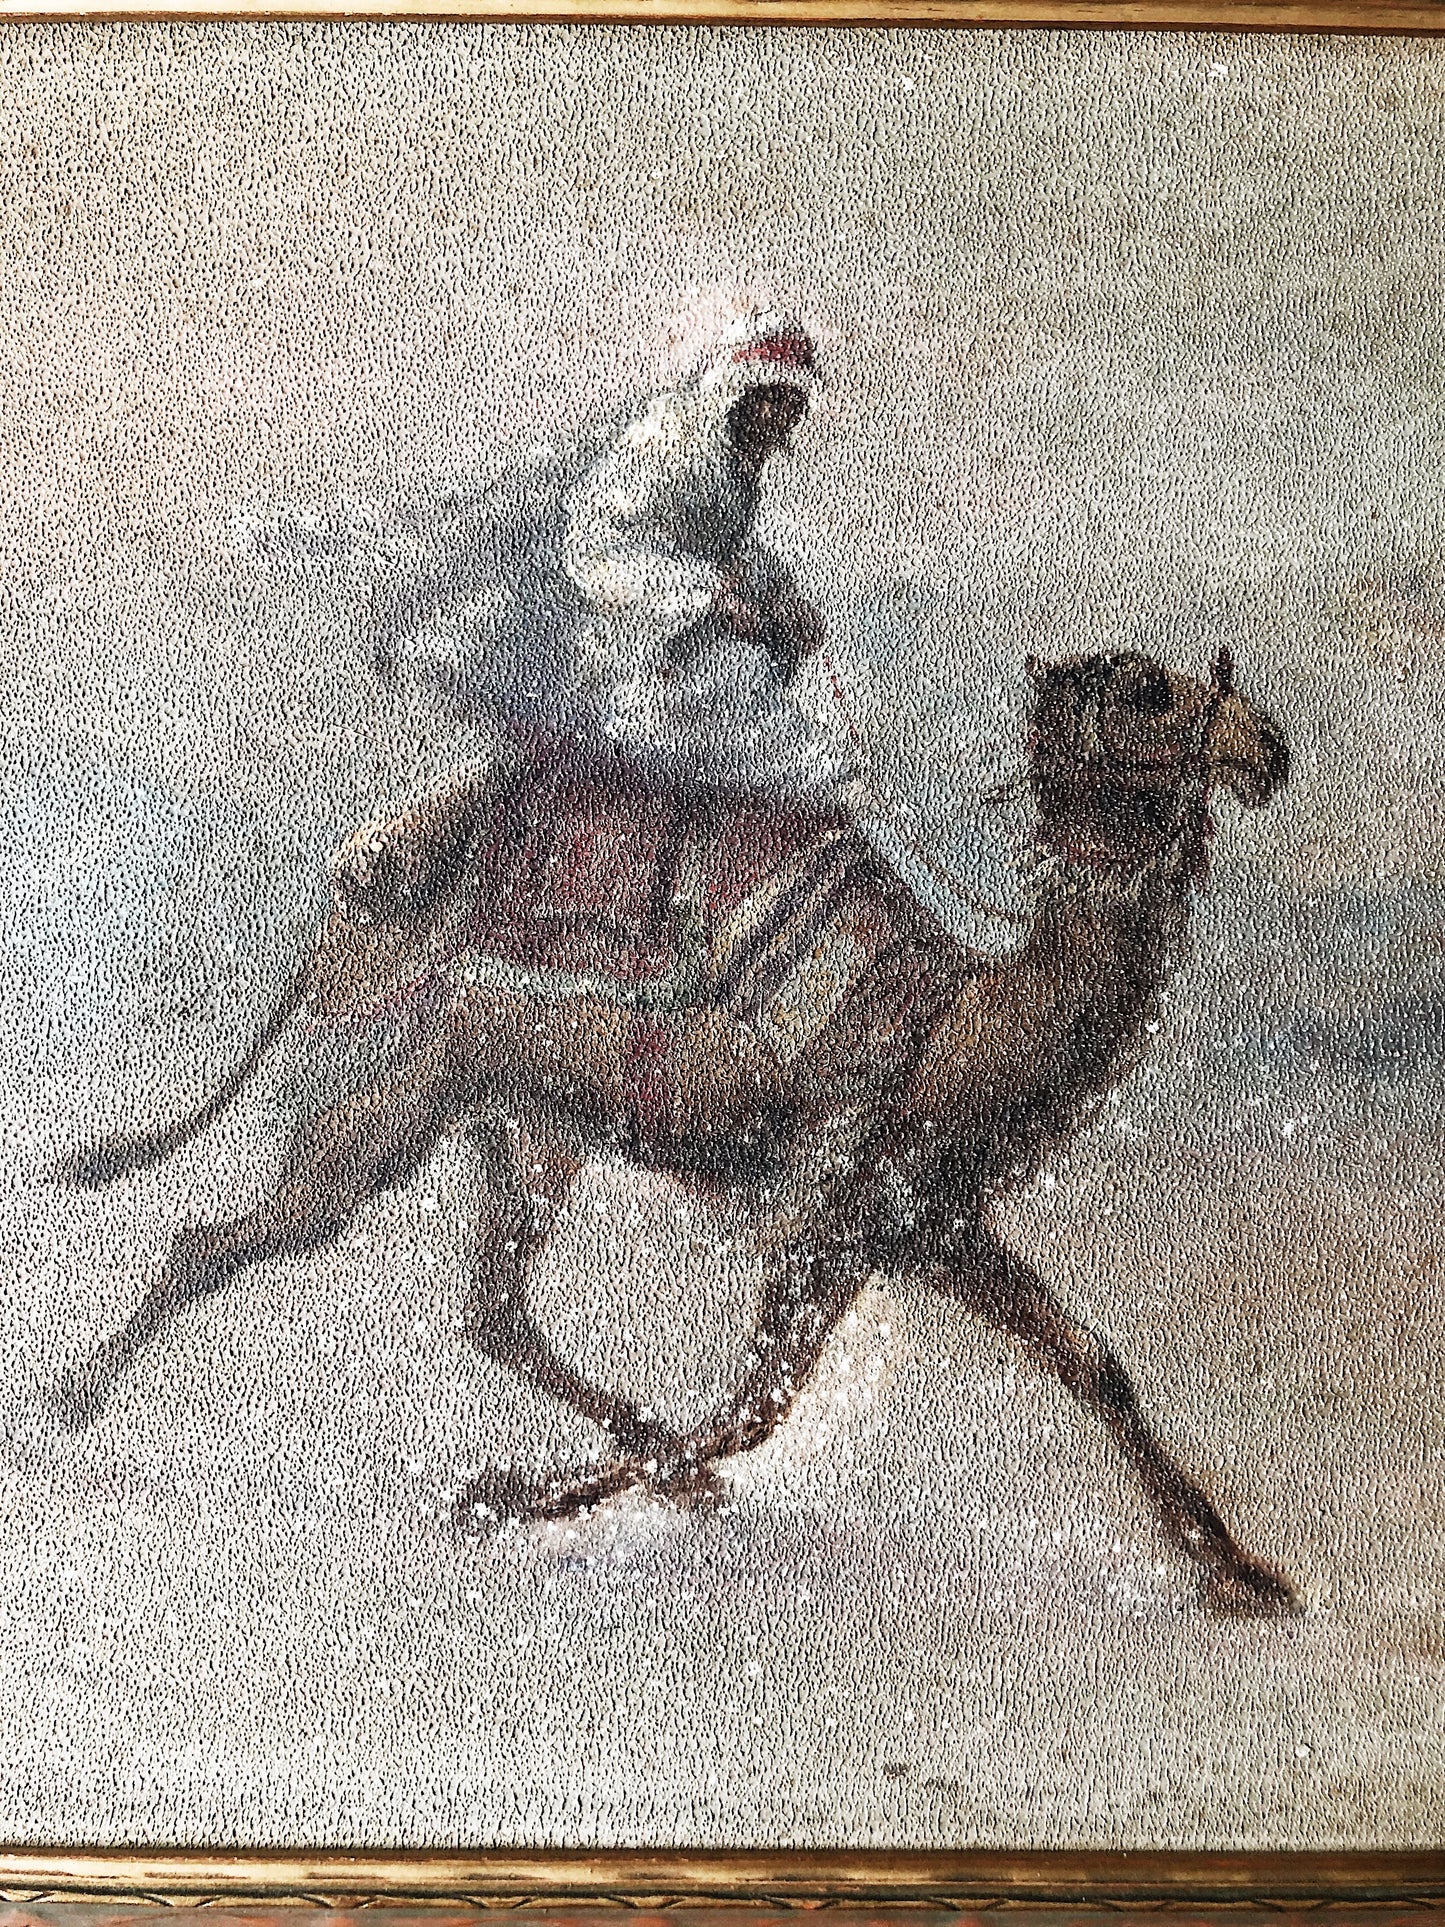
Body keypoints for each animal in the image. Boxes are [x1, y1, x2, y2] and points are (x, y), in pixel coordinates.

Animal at [54, 647, 1296, 1617]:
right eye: (1146, 688)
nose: (1268, 744)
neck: (956, 1030)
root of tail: (348, 899)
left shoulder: (927, 1226)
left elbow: (1093, 1364)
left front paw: (1243, 1571)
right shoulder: (830, 1217)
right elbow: (752, 1412)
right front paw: (507, 1492)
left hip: (524, 1127)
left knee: (494, 1304)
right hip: (409, 1086)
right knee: (233, 1235)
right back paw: (73, 1396)